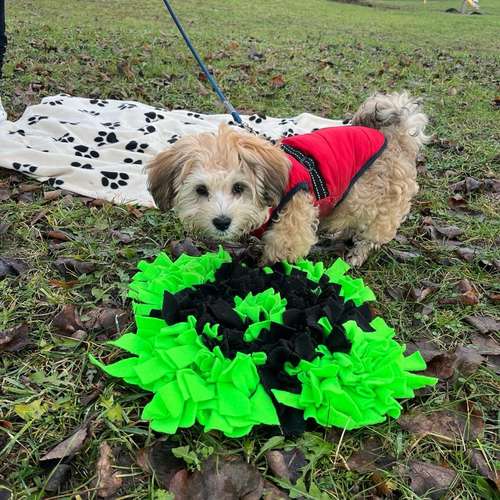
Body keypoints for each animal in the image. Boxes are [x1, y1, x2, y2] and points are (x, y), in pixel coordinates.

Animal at [146, 92, 428, 268]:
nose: (222, 222)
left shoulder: (290, 230)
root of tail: (396, 138)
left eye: (239, 187)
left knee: (371, 235)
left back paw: (356, 255)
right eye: (201, 190)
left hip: (381, 208)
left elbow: (279, 254)